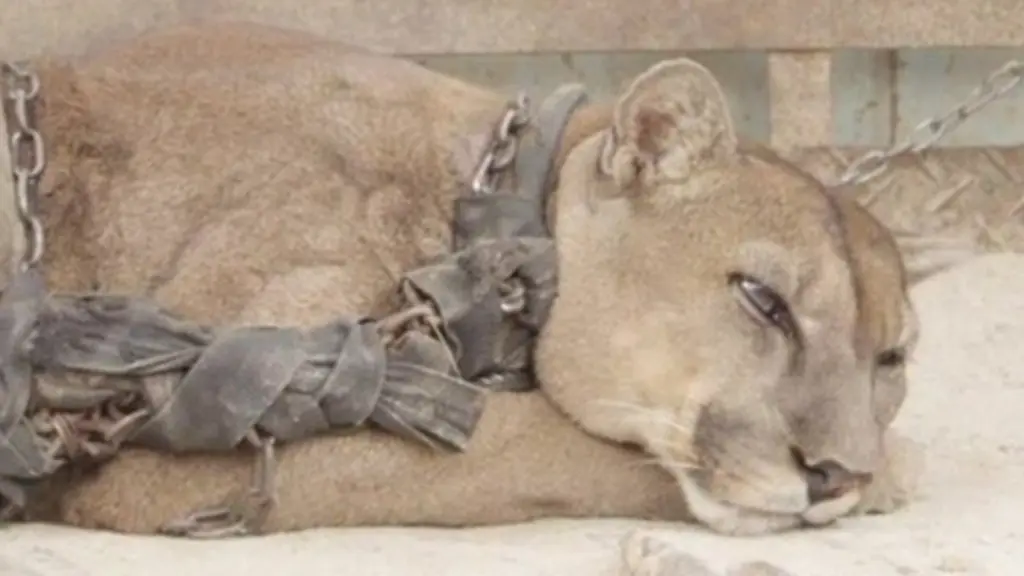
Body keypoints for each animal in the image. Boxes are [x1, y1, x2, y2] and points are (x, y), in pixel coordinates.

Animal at [3, 21, 932, 538]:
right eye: (762, 301)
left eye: (892, 361)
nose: (836, 474)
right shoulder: (186, 437)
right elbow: (532, 443)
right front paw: (894, 472)